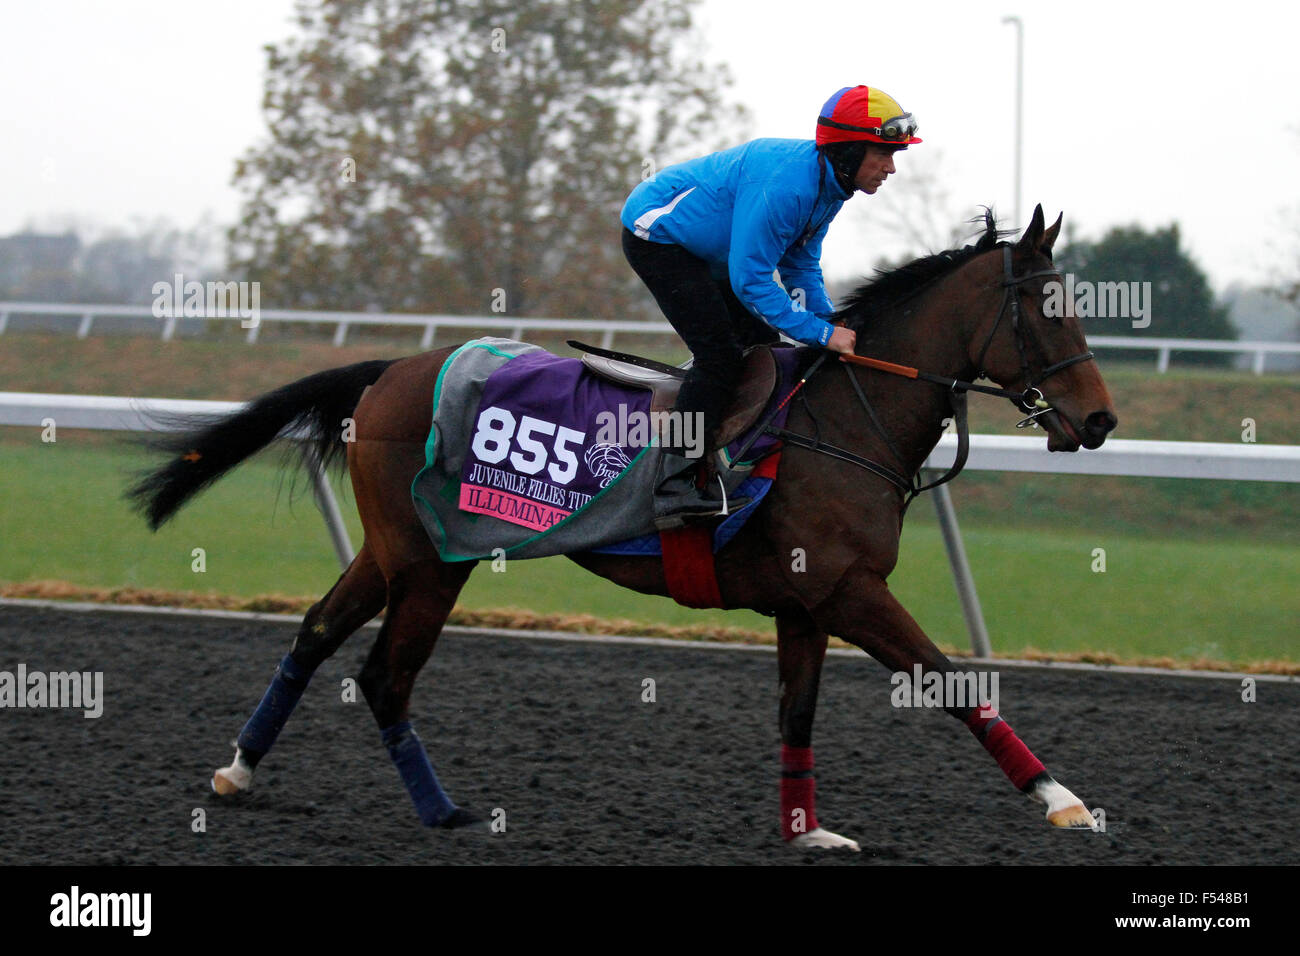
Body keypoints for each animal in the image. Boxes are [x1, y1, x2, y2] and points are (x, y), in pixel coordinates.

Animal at [131, 208, 1118, 853]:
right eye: (1045, 310)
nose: (1101, 420)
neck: (843, 418)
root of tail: (390, 369)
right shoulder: (849, 591)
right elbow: (956, 685)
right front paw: (1063, 800)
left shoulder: (806, 603)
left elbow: (798, 712)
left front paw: (807, 831)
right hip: (435, 557)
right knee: (382, 675)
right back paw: (444, 813)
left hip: (392, 548)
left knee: (317, 633)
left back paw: (238, 772)